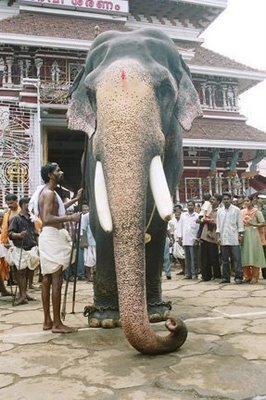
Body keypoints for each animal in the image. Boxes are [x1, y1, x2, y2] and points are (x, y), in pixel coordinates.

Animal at [67, 26, 203, 354]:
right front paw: (103, 320)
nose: (174, 324)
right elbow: (101, 222)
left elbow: (158, 222)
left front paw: (156, 315)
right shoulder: (92, 152)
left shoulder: (175, 148)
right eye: (91, 94)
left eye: (165, 89)